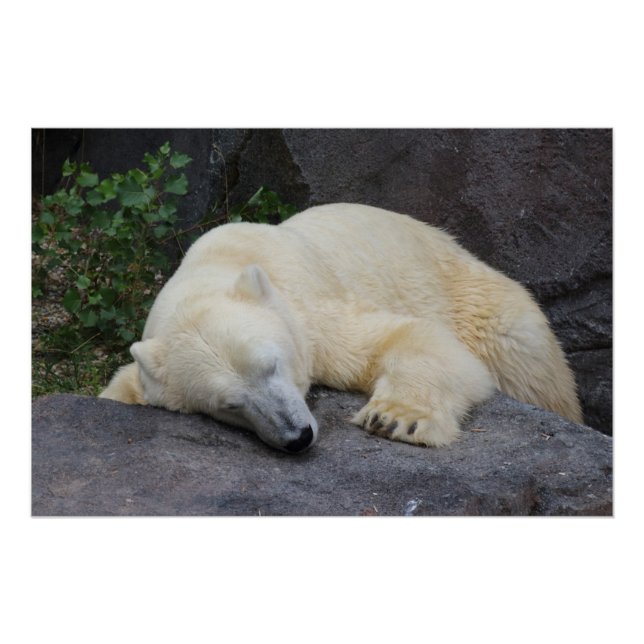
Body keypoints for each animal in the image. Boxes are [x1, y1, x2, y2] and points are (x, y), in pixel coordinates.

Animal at [100, 203, 582, 452]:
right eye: (228, 405)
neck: (219, 263)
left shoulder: (311, 312)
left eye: (272, 365)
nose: (297, 437)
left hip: (484, 302)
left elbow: (409, 337)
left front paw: (395, 419)